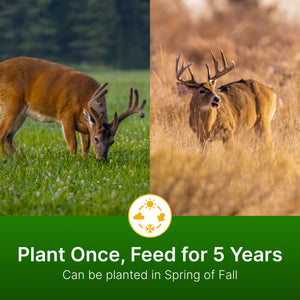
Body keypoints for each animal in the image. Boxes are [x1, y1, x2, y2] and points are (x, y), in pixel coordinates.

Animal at [0, 56, 146, 161]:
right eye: (96, 138)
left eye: (112, 142)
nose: (102, 159)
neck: (84, 100)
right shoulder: (66, 114)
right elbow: (73, 143)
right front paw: (74, 161)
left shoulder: (85, 125)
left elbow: (85, 145)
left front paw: (85, 159)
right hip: (11, 102)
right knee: (2, 133)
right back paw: (6, 160)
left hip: (22, 112)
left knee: (9, 136)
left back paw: (16, 158)